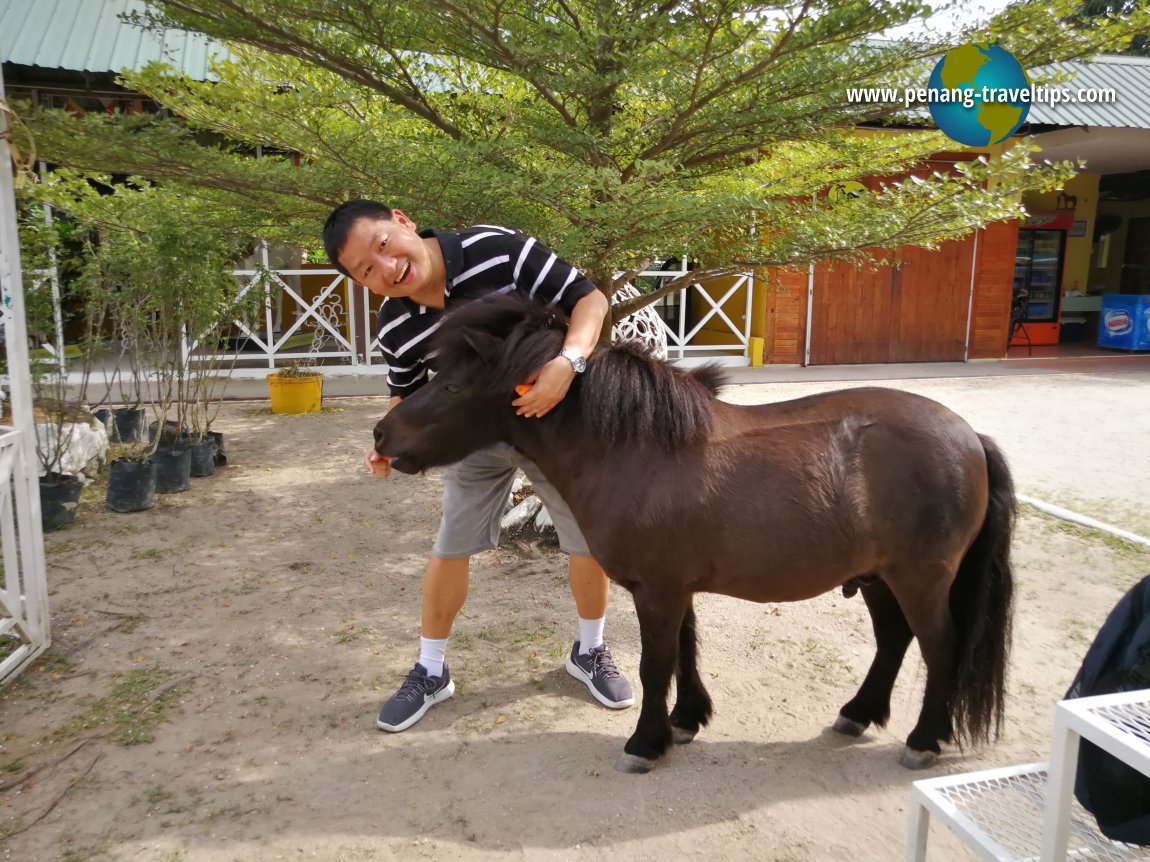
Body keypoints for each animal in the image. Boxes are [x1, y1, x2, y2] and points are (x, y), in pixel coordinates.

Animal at [372, 296, 1012, 776]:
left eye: (453, 387)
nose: (382, 434)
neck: (639, 449)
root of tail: (971, 437)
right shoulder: (671, 590)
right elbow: (684, 651)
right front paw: (683, 722)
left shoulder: (658, 590)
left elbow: (658, 663)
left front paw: (644, 742)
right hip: (878, 576)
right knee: (893, 640)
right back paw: (858, 713)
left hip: (921, 579)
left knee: (940, 646)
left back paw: (924, 739)